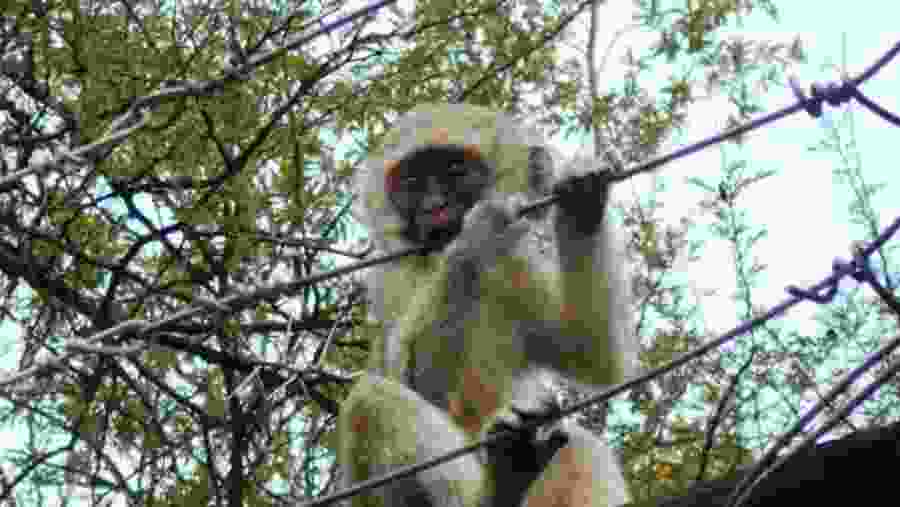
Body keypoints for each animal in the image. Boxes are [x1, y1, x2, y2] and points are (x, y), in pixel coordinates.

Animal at [337, 103, 637, 507]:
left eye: (455, 171)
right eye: (413, 181)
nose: (434, 206)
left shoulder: (517, 262)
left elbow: (592, 354)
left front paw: (582, 199)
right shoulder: (392, 270)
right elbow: (413, 378)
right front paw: (475, 239)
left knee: (579, 447)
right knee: (371, 400)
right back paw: (499, 485)